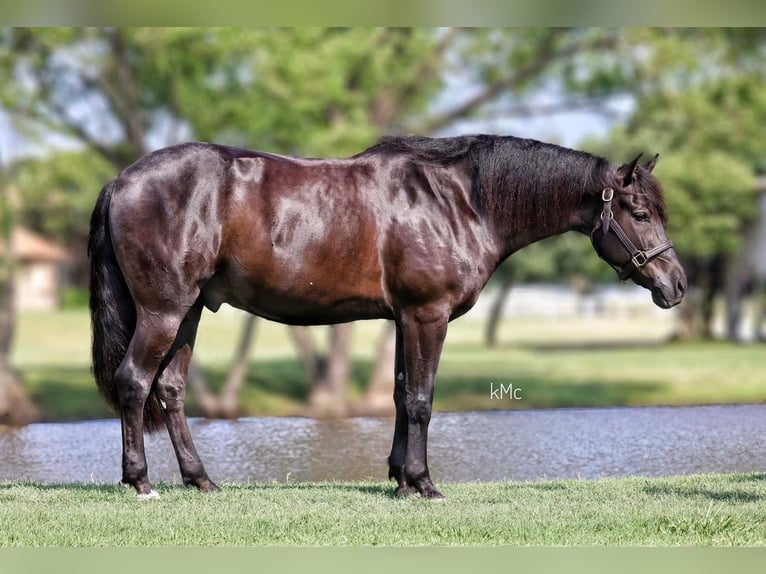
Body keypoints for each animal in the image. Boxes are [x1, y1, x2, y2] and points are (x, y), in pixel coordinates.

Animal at [90, 135, 688, 500]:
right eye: (639, 213)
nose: (677, 286)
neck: (459, 200)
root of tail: (122, 180)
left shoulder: (404, 319)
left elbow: (401, 395)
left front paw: (400, 480)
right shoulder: (427, 315)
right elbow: (422, 400)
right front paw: (424, 484)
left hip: (189, 311)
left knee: (169, 389)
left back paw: (202, 481)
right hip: (164, 310)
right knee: (134, 381)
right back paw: (140, 483)